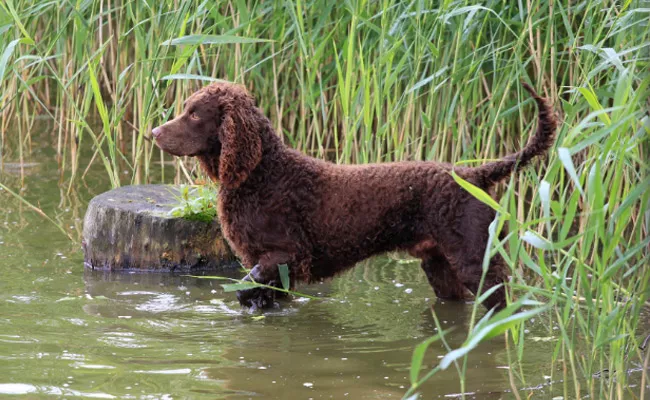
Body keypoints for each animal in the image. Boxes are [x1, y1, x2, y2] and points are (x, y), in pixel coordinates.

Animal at [151, 82, 552, 312]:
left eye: (194, 114)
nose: (154, 132)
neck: (262, 172)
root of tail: (474, 175)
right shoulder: (274, 267)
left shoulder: (286, 255)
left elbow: (245, 289)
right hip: (441, 267)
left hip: (475, 261)